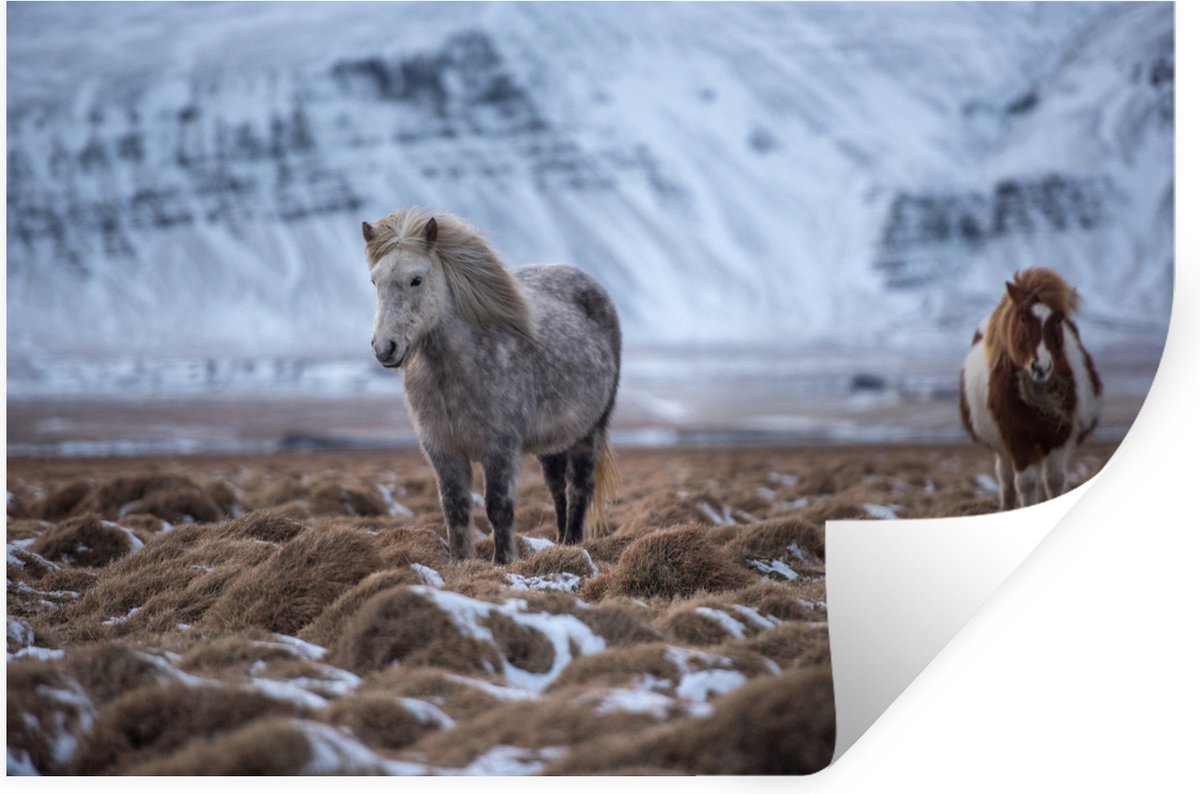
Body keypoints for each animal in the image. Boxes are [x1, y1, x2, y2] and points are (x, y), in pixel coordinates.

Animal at [361, 209, 621, 564]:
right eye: (375, 281)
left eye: (416, 279)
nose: (385, 348)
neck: (452, 376)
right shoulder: (442, 449)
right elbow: (455, 508)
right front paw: (461, 562)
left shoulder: (500, 448)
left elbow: (499, 507)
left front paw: (503, 562)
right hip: (552, 443)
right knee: (557, 489)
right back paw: (561, 543)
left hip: (590, 432)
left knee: (579, 487)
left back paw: (573, 542)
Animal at [959, 268, 1102, 509]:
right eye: (1023, 317)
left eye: (1058, 319)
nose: (1040, 367)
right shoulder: (1017, 439)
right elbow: (1025, 483)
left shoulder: (1060, 436)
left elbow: (1054, 480)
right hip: (1003, 448)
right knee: (1006, 479)